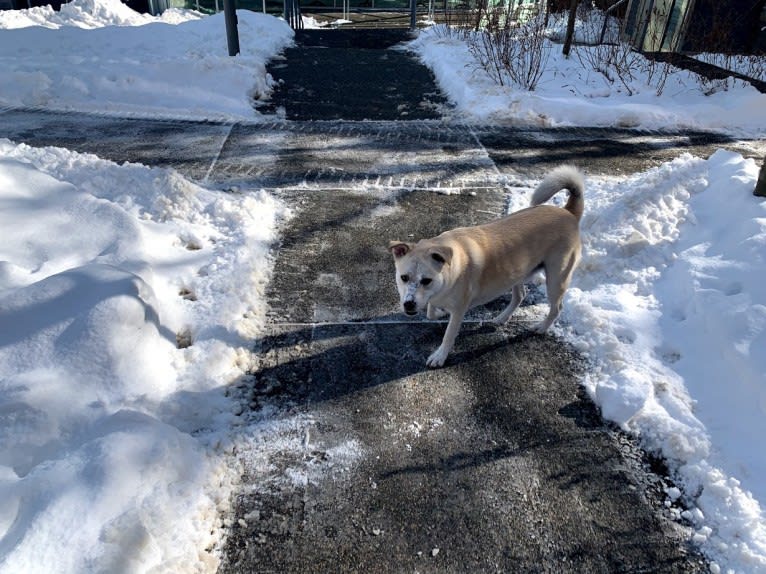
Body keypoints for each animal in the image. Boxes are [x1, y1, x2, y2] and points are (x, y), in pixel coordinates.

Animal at [392, 164, 584, 368]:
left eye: (426, 280)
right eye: (404, 278)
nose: (409, 304)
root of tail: (569, 212)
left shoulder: (458, 310)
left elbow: (449, 335)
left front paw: (440, 355)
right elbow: (431, 312)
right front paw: (439, 312)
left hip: (556, 279)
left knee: (557, 308)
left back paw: (541, 326)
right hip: (516, 272)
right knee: (520, 296)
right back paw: (502, 318)